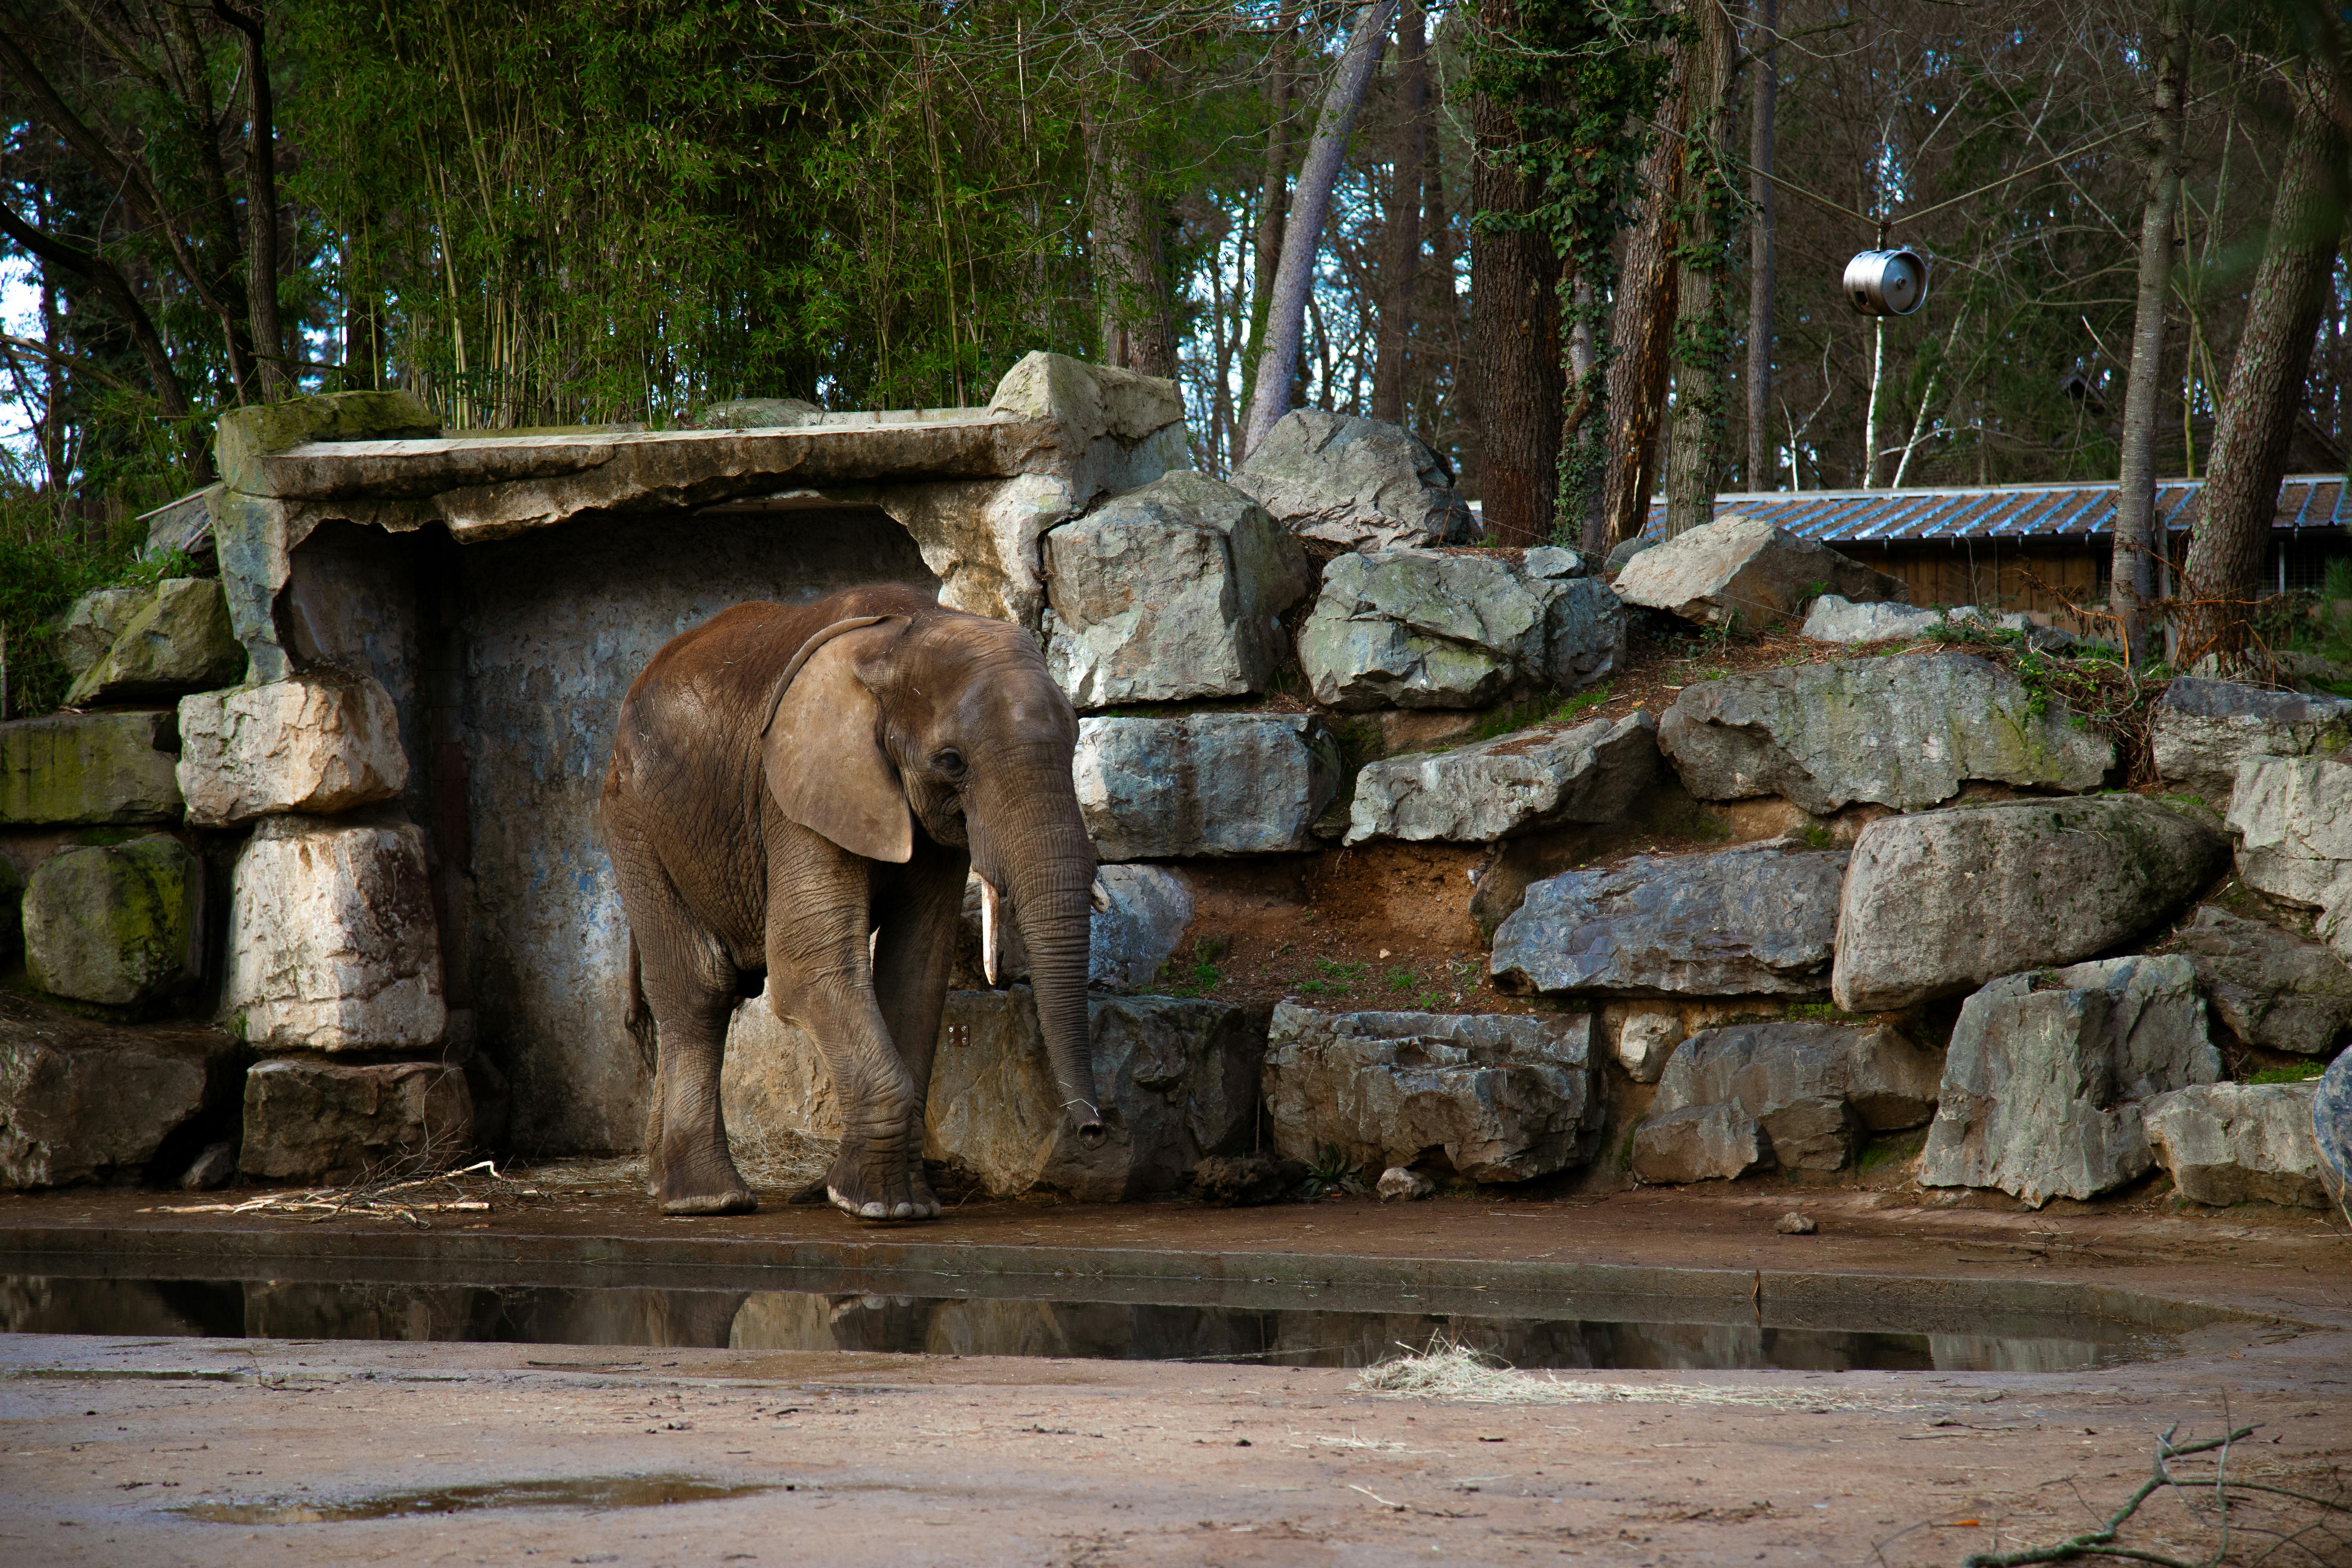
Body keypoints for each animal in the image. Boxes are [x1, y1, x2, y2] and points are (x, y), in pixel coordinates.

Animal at [593, 583, 1096, 1222]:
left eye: (1076, 741)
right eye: (951, 761)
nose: (1092, 1130)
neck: (909, 632)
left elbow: (917, 974)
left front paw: (905, 1203)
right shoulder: (792, 790)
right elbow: (809, 966)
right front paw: (881, 1208)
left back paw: (666, 1188)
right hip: (632, 817)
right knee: (700, 987)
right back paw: (709, 1201)